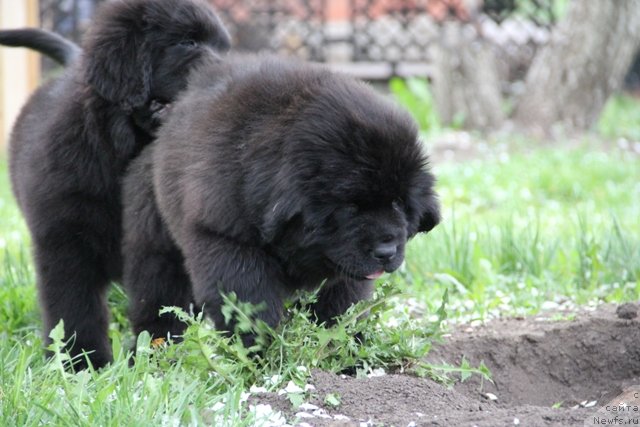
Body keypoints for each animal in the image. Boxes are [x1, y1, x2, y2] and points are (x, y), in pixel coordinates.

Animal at [5, 0, 230, 368]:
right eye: (188, 42)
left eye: (224, 48)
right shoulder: (64, 241)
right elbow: (73, 307)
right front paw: (81, 362)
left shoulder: (160, 246)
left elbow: (162, 301)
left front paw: (159, 356)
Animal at [120, 54, 440, 348]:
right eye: (350, 208)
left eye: (398, 203)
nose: (386, 251)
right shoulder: (226, 241)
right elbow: (250, 300)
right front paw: (260, 352)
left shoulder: (346, 269)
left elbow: (342, 303)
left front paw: (341, 347)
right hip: (155, 238)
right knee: (160, 289)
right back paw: (158, 343)